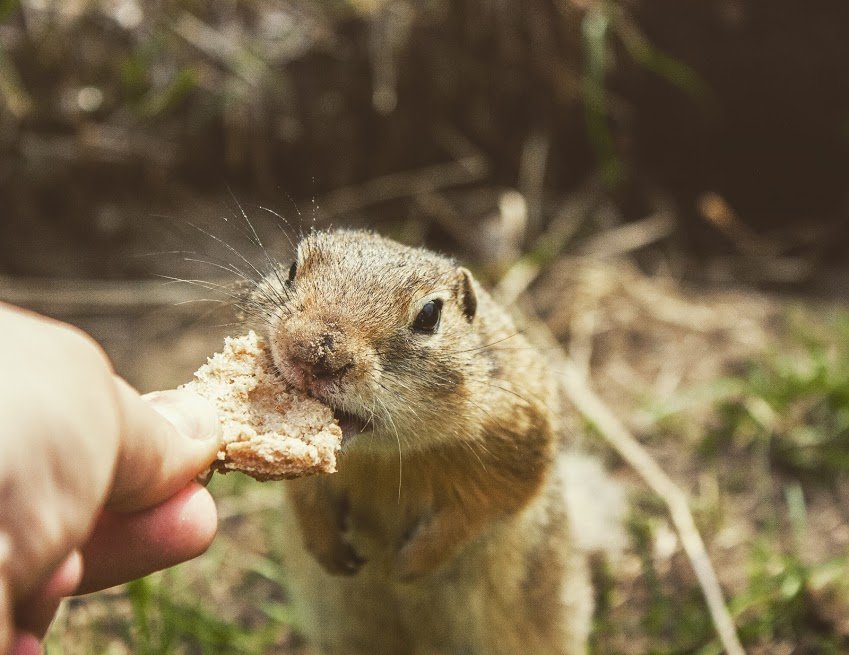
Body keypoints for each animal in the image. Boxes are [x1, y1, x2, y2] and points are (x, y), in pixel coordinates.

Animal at [248, 229, 620, 655]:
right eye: (293, 267)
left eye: (429, 315)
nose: (310, 352)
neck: (383, 455)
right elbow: (303, 492)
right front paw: (330, 550)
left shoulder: (517, 442)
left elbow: (482, 509)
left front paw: (407, 565)